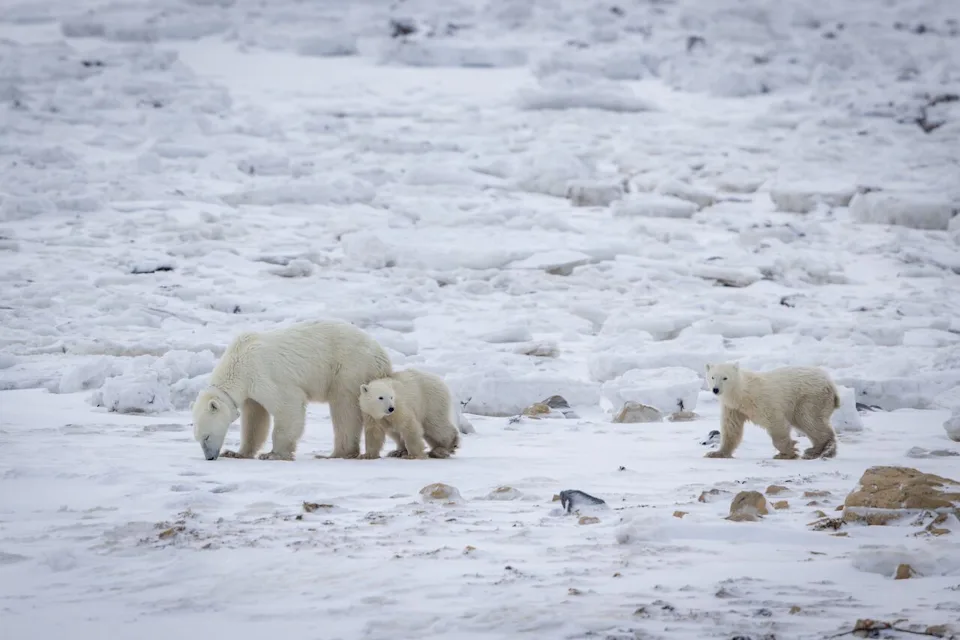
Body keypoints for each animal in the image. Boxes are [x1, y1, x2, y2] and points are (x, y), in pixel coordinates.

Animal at [192, 320, 392, 461]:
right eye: (198, 438)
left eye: (206, 437)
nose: (210, 457)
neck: (237, 361)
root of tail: (382, 356)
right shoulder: (251, 392)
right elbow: (255, 418)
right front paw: (236, 452)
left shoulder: (262, 375)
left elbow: (287, 406)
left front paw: (273, 454)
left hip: (349, 369)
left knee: (344, 408)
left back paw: (336, 453)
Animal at [704, 362, 839, 460]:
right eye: (712, 377)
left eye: (725, 378)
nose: (715, 389)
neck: (742, 394)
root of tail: (830, 383)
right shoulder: (733, 408)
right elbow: (731, 428)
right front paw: (716, 453)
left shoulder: (761, 401)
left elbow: (775, 422)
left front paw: (786, 453)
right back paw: (816, 450)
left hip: (809, 397)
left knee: (808, 419)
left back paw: (821, 450)